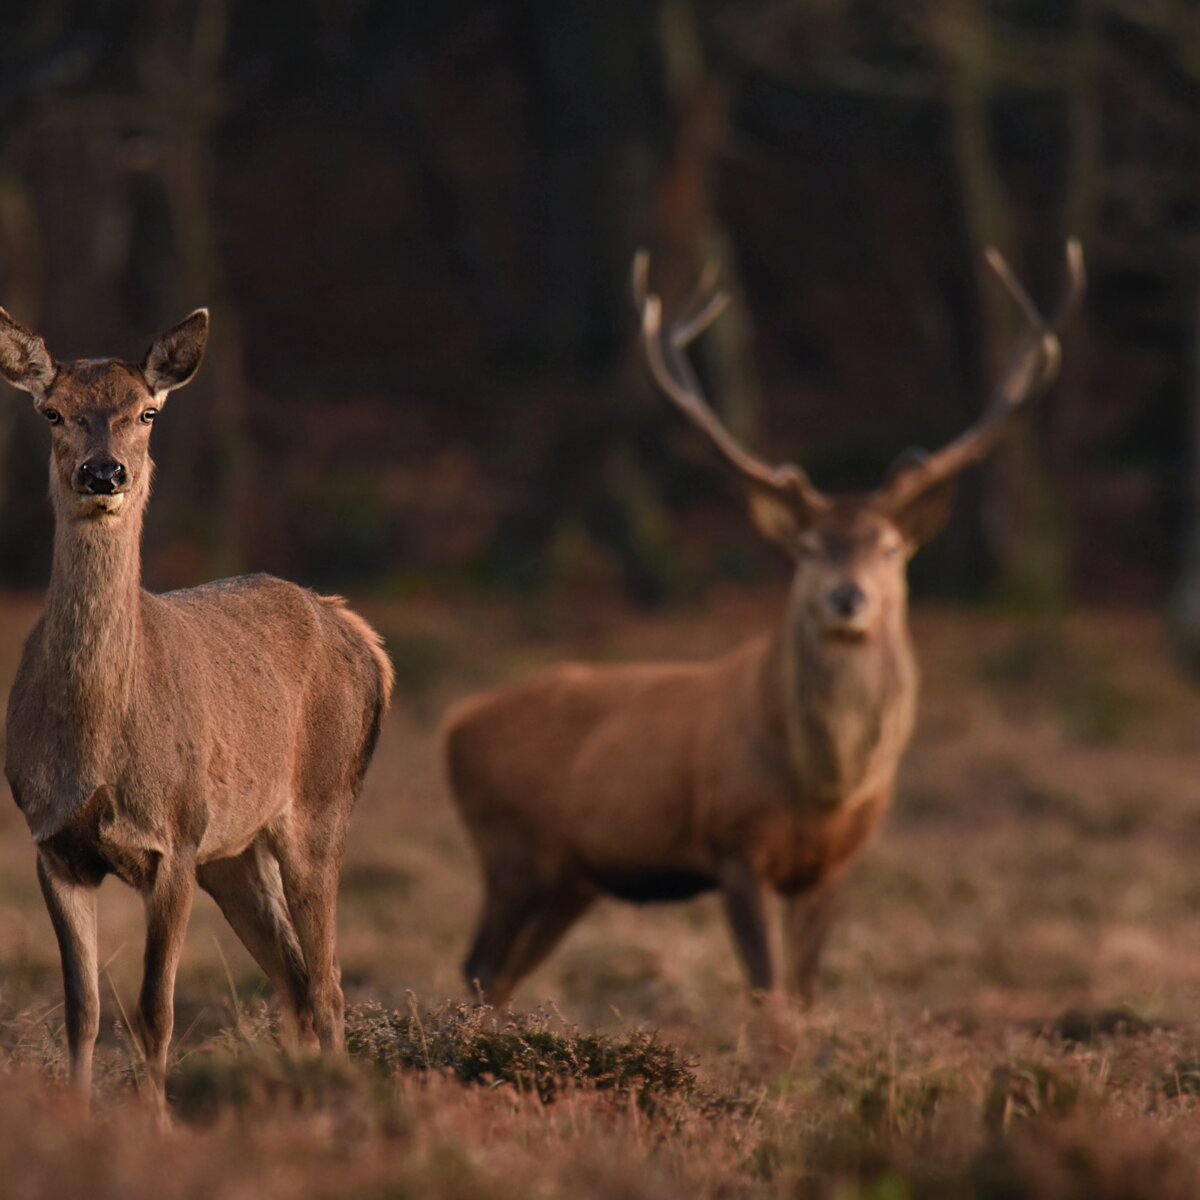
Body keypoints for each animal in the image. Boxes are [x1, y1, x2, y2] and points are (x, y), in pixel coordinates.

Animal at [0, 307, 393, 1104]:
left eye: (146, 411)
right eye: (52, 411)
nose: (104, 472)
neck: (97, 750)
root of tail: (364, 636)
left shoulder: (175, 837)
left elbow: (155, 1009)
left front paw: (156, 1119)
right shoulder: (51, 841)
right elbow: (83, 1010)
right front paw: (79, 1116)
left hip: (319, 806)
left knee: (329, 983)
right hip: (234, 851)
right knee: (294, 978)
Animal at [446, 238, 1084, 1008]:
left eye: (889, 547)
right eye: (807, 547)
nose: (848, 598)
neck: (825, 788)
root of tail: (455, 724)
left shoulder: (835, 866)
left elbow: (804, 998)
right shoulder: (733, 843)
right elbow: (767, 994)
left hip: (573, 877)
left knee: (501, 972)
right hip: (511, 849)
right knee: (478, 963)